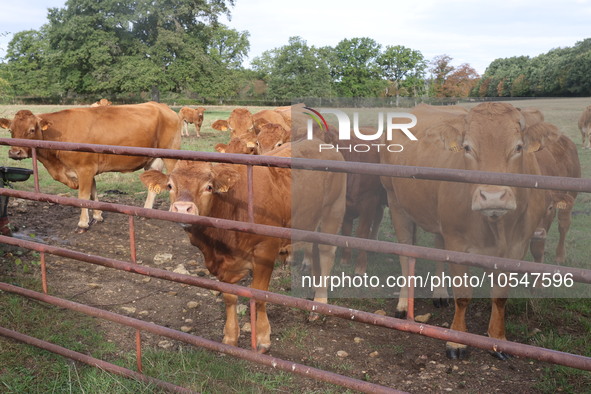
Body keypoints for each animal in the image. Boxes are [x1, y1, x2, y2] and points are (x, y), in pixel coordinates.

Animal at [0, 101, 180, 231]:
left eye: (31, 130)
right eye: (10, 130)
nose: (15, 152)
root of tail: (163, 107)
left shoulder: (85, 169)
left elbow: (83, 196)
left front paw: (83, 223)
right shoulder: (88, 170)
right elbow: (93, 192)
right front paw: (98, 215)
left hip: (171, 155)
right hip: (152, 160)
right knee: (153, 186)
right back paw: (146, 213)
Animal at [141, 140, 346, 352]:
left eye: (208, 187)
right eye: (170, 185)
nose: (182, 208)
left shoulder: (265, 250)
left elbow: (259, 295)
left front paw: (263, 337)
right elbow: (230, 297)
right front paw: (231, 336)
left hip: (333, 210)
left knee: (326, 254)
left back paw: (319, 302)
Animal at [382, 102, 552, 360]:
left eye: (518, 147)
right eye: (467, 147)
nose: (493, 197)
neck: (496, 227)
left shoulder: (516, 248)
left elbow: (500, 296)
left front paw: (498, 340)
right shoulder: (458, 243)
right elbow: (462, 295)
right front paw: (457, 342)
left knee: (437, 246)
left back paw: (440, 293)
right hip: (396, 203)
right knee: (406, 253)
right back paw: (403, 304)